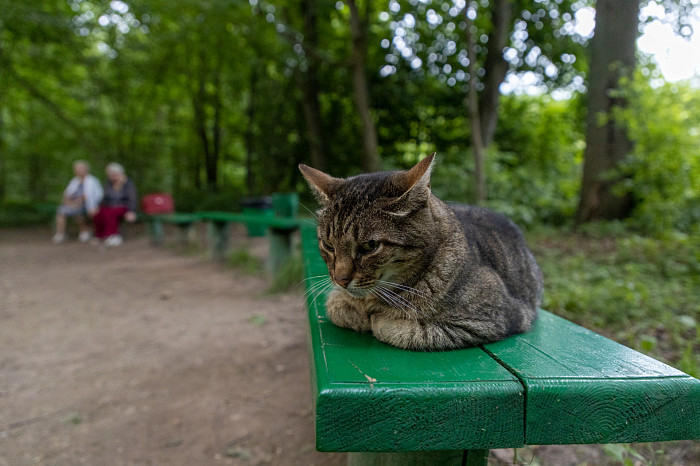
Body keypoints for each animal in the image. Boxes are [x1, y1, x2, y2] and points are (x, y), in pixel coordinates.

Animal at [298, 155, 544, 352]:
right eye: (328, 245)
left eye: (370, 246)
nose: (340, 280)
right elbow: (335, 306)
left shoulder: (487, 321)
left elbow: (396, 328)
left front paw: (375, 317)